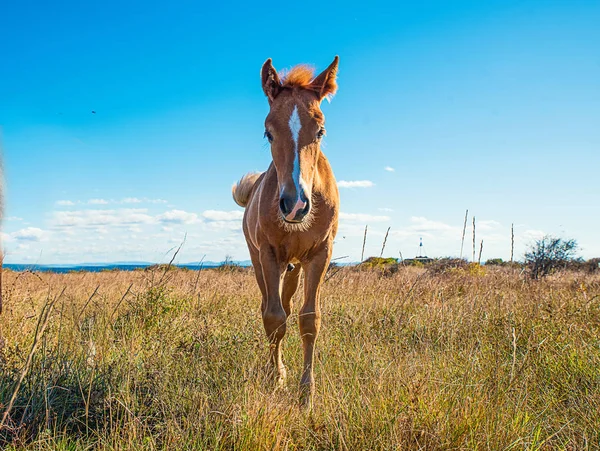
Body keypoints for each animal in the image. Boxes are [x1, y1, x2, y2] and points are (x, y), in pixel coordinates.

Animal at [233, 55, 340, 406]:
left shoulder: (321, 254)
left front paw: (307, 393)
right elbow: (273, 318)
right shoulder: (268, 255)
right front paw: (276, 377)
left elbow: (309, 319)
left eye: (320, 130)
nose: (295, 204)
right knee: (269, 305)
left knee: (288, 304)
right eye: (268, 132)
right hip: (262, 262)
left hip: (294, 267)